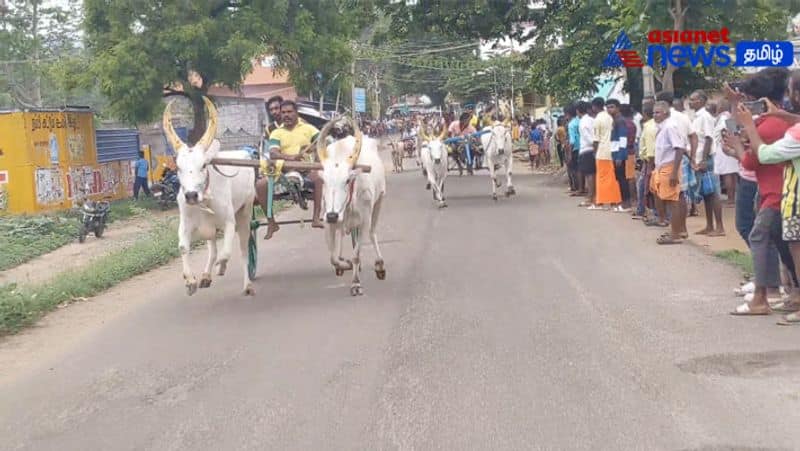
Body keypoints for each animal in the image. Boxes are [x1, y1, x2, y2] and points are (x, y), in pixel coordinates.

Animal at [160, 96, 253, 296]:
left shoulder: (229, 222)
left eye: (203, 165)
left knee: (243, 249)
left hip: (245, 212)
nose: (191, 195)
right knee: (213, 248)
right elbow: (183, 247)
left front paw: (221, 267)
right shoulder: (186, 223)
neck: (204, 200)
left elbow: (227, 253)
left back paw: (247, 285)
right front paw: (190, 281)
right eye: (178, 167)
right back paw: (205, 276)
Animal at [318, 119, 386, 296]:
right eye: (324, 181)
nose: (333, 215)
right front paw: (344, 264)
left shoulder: (363, 222)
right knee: (343, 235)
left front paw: (356, 284)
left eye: (347, 180)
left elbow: (356, 255)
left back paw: (379, 265)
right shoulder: (327, 222)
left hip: (379, 201)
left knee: (372, 233)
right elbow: (333, 258)